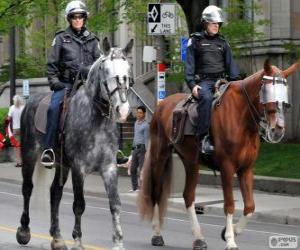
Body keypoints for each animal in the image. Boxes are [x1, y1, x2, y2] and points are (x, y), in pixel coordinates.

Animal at [16, 37, 134, 250]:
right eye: (106, 70)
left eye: (127, 70)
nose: (122, 109)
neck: (96, 119)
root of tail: (31, 101)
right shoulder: (80, 168)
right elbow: (79, 205)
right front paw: (78, 241)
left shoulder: (109, 167)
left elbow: (115, 204)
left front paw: (118, 242)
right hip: (29, 155)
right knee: (27, 188)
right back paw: (24, 231)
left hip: (62, 165)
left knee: (55, 193)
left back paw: (57, 238)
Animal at [139, 59, 300, 249]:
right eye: (266, 91)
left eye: (285, 96)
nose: (277, 130)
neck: (241, 118)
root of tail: (162, 105)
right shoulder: (227, 168)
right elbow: (229, 204)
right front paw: (230, 239)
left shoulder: (246, 169)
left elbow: (250, 207)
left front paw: (231, 232)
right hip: (160, 155)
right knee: (157, 192)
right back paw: (157, 234)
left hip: (190, 162)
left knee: (188, 196)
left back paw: (199, 238)